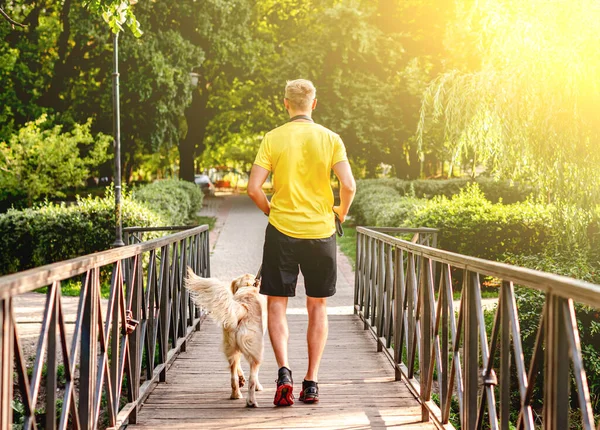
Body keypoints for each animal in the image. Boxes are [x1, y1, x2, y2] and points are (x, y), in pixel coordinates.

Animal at [184, 268, 266, 406]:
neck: (247, 287)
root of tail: (243, 307)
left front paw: (241, 378)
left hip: (230, 346)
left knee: (233, 375)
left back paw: (236, 394)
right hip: (256, 351)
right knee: (252, 378)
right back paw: (251, 401)